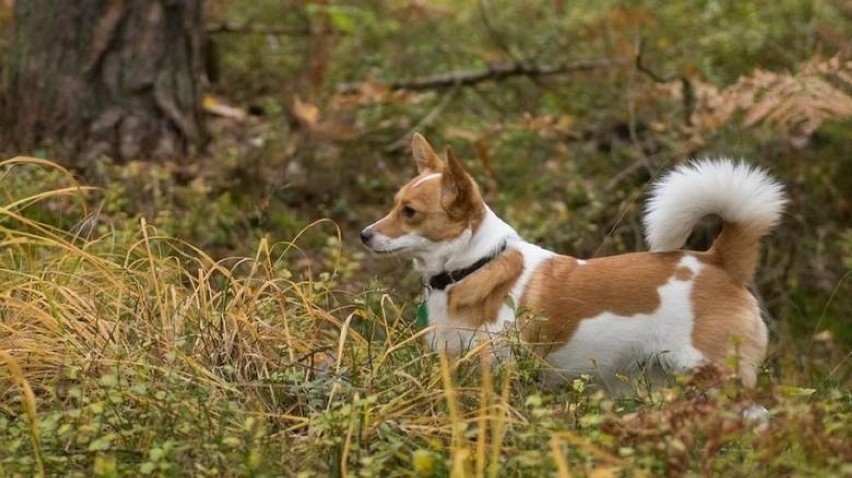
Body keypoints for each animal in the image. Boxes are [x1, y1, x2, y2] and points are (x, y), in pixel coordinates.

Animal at [360, 133, 784, 390]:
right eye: (394, 205)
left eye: (410, 212)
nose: (364, 234)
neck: (475, 265)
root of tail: (719, 262)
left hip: (716, 377)